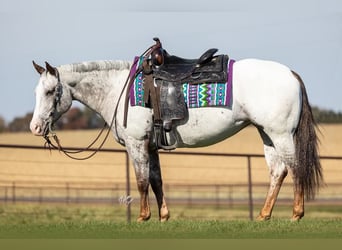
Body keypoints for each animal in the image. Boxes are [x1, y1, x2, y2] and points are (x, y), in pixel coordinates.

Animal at [30, 52, 324, 221]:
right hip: (267, 134)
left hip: (281, 134)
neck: (118, 88)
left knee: (295, 168)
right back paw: (264, 215)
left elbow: (141, 181)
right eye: (36, 92)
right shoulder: (151, 146)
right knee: (278, 172)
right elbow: (156, 180)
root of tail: (290, 74)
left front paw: (143, 217)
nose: (35, 127)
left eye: (49, 92)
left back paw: (296, 214)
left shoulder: (137, 144)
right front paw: (163, 216)